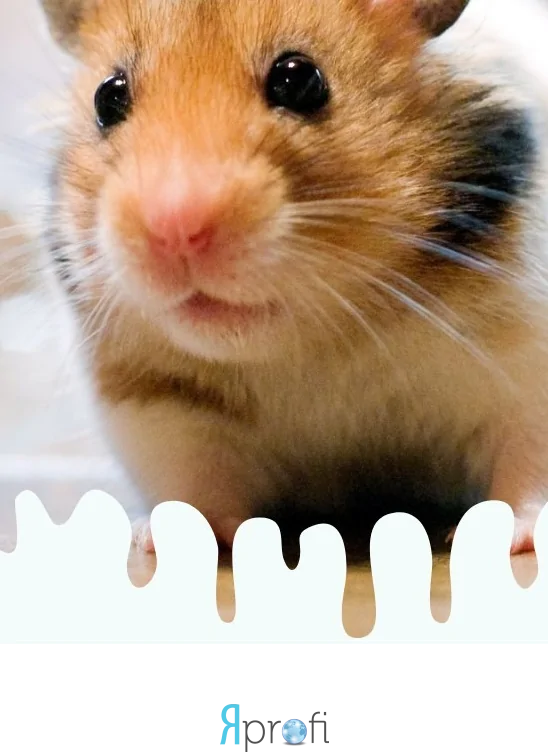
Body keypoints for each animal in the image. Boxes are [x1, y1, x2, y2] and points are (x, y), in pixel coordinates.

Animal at [36, 0, 548, 556]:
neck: (323, 339)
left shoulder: (524, 370)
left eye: (300, 80)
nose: (175, 229)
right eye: (108, 96)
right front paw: (158, 540)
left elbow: (526, 464)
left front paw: (510, 538)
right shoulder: (158, 406)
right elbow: (193, 478)